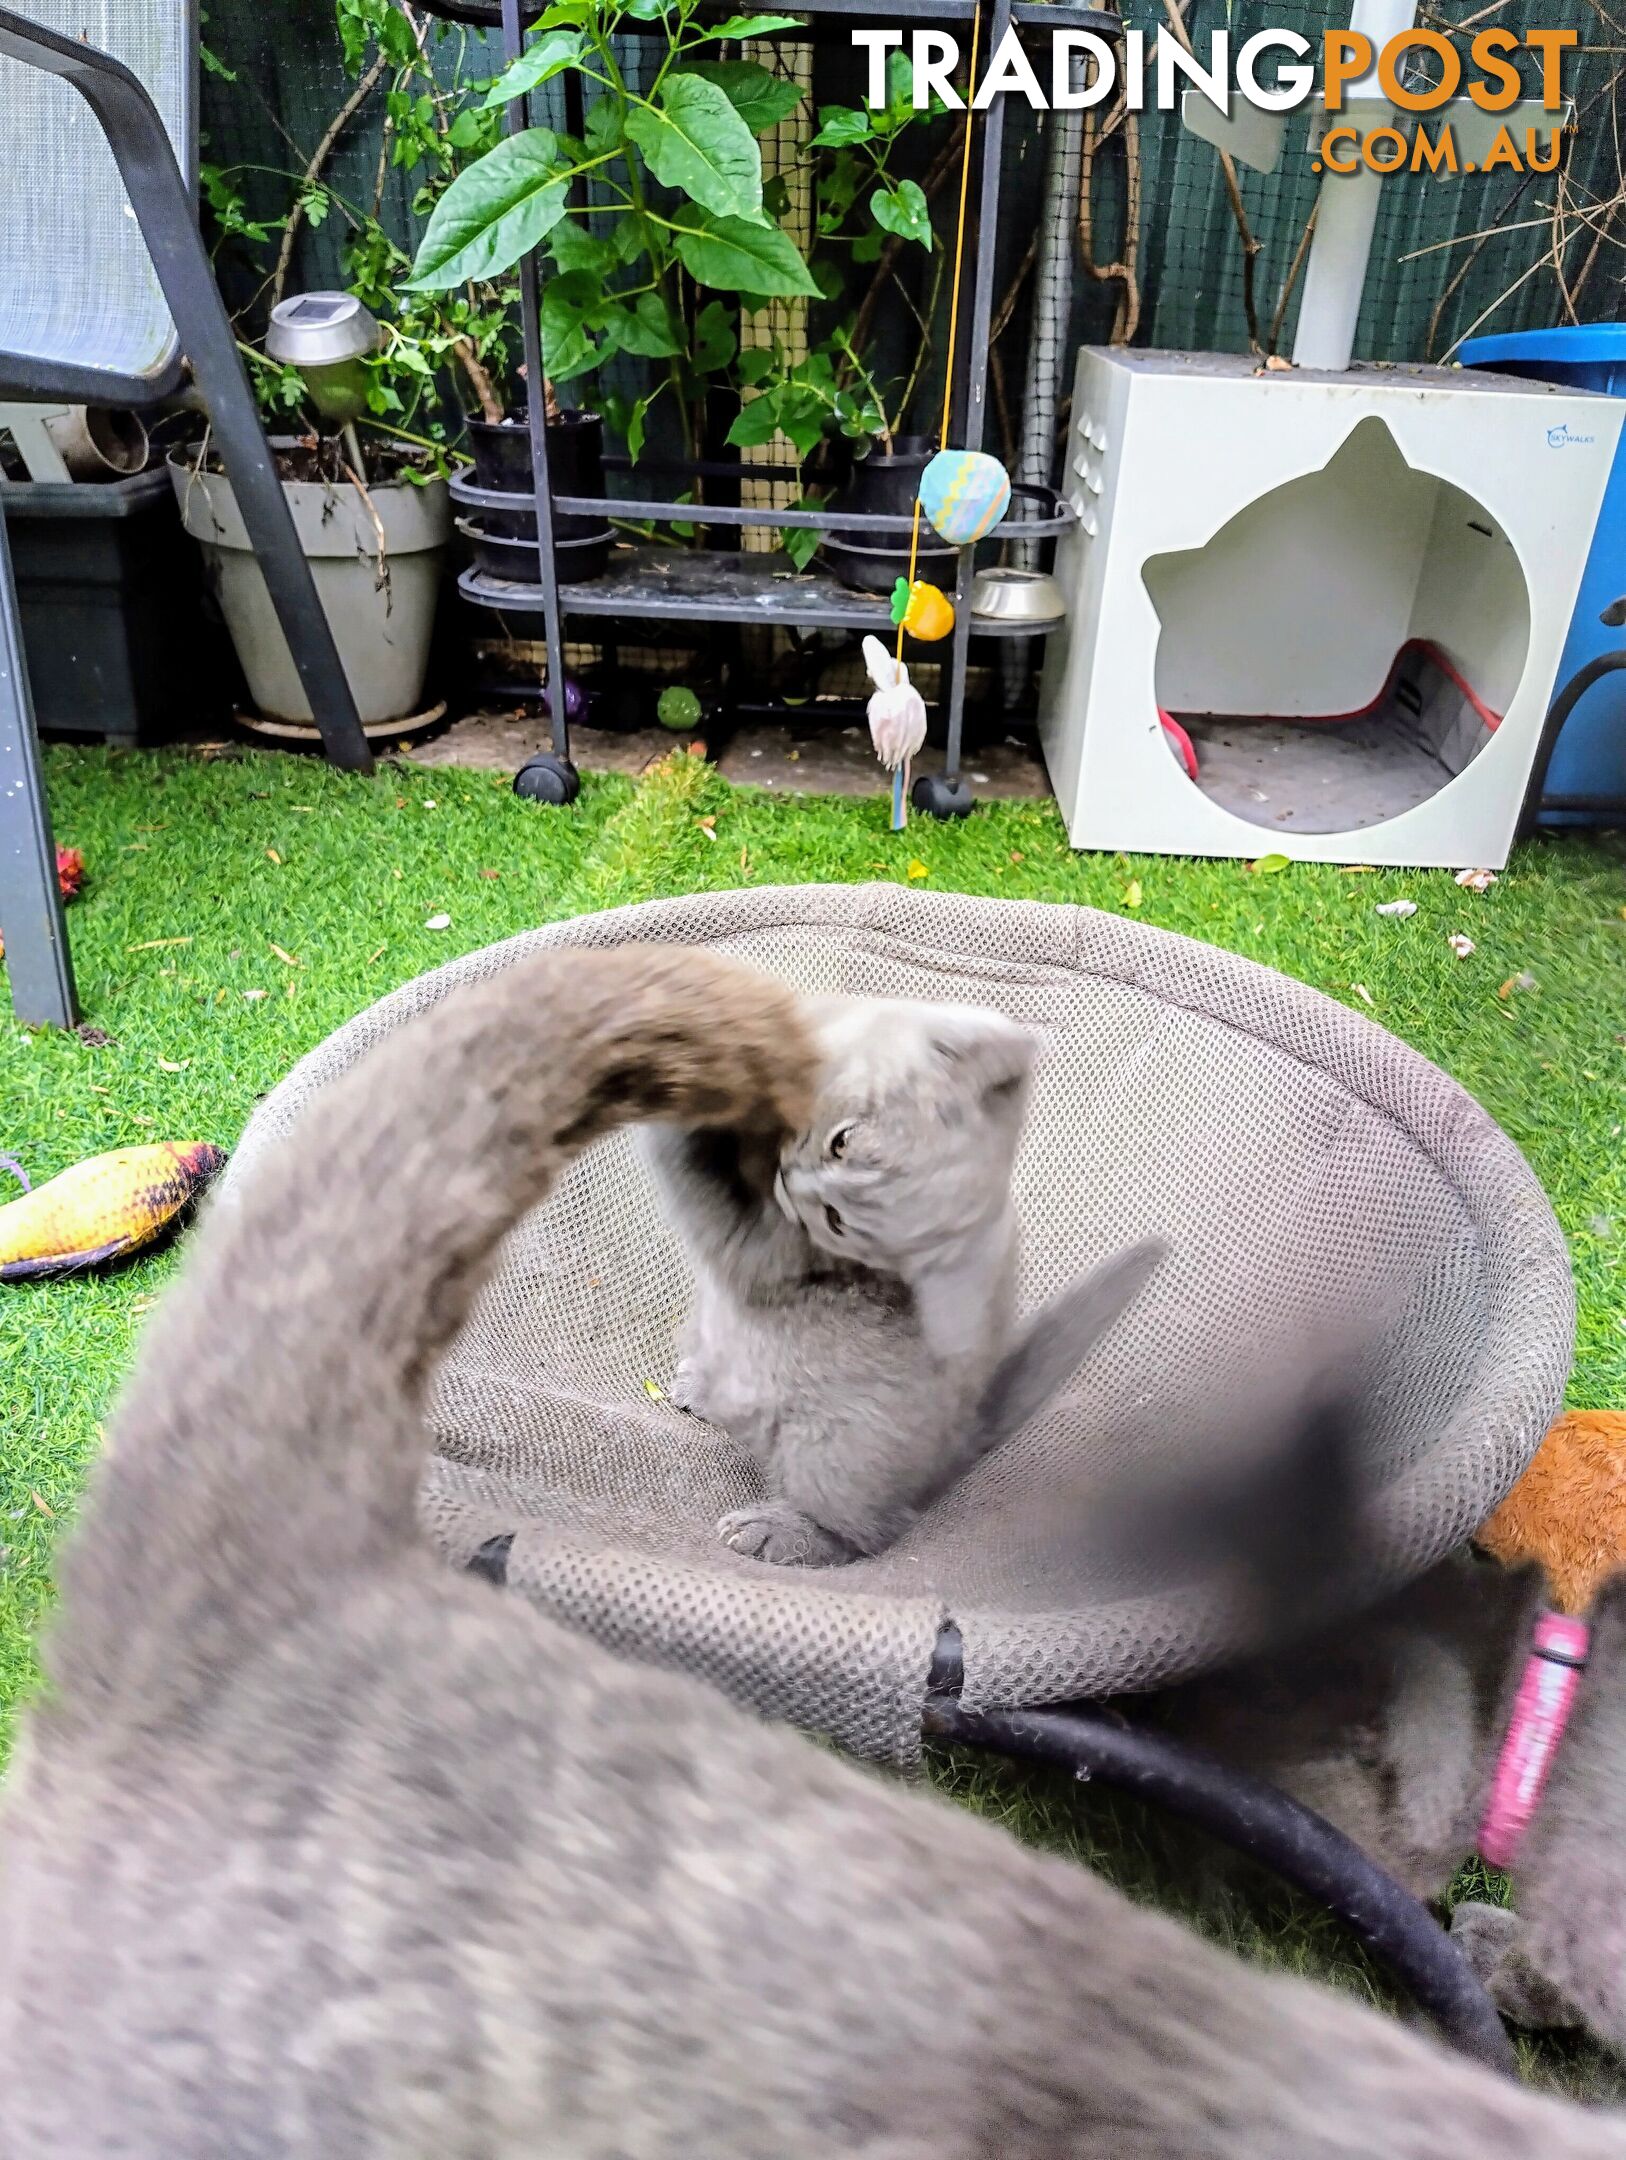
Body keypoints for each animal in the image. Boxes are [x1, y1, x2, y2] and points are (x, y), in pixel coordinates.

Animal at [639, 993, 1157, 1572]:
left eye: (836, 1221)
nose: (792, 1184)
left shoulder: (762, 1247)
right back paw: (701, 1388)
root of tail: (960, 1435)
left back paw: (780, 1529)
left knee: (870, 1529)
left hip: (838, 1445)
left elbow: (700, 1174)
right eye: (841, 1141)